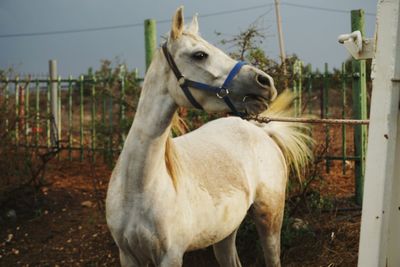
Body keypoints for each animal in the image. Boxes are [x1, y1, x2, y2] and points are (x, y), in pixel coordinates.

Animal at [106, 6, 312, 267]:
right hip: (225, 231)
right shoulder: (127, 255)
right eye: (200, 55)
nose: (265, 82)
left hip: (270, 216)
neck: (138, 188)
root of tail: (260, 130)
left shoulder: (171, 257)